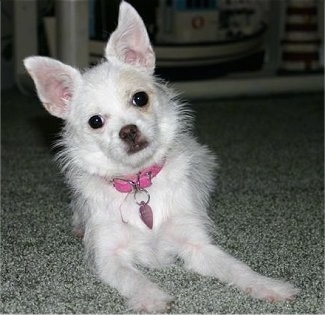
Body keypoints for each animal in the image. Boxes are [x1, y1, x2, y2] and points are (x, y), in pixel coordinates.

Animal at [24, 1, 298, 314]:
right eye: (95, 122)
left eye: (140, 98)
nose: (128, 130)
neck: (137, 182)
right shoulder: (109, 258)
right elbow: (133, 278)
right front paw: (151, 298)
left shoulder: (197, 247)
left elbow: (236, 267)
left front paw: (268, 286)